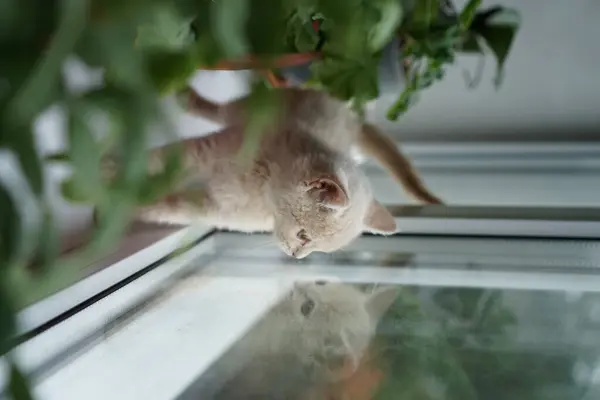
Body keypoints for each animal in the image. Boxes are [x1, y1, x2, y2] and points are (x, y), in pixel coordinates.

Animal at [124, 86, 440, 258]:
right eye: (303, 235)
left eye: (319, 250)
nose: (297, 256)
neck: (261, 191)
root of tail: (355, 120)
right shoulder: (208, 151)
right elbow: (158, 159)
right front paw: (114, 172)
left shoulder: (213, 207)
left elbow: (172, 208)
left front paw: (133, 208)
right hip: (258, 107)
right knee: (221, 110)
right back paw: (188, 98)